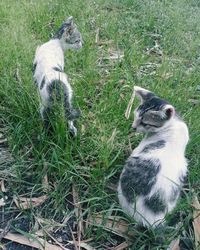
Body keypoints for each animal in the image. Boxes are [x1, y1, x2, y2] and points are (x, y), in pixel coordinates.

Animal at [118, 86, 188, 229]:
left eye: (145, 123)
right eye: (135, 116)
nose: (133, 127)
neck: (171, 125)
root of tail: (151, 221)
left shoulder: (138, 149)